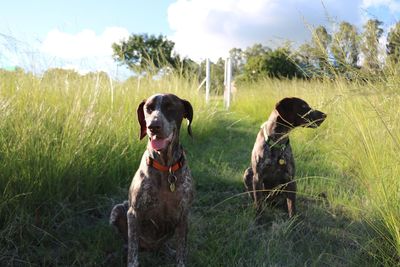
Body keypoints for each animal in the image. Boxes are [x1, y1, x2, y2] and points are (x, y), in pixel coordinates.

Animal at [110, 94, 195, 267]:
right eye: (148, 108)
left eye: (170, 107)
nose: (153, 126)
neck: (166, 168)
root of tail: (151, 248)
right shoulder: (133, 214)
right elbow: (133, 254)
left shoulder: (184, 215)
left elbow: (181, 251)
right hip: (117, 210)